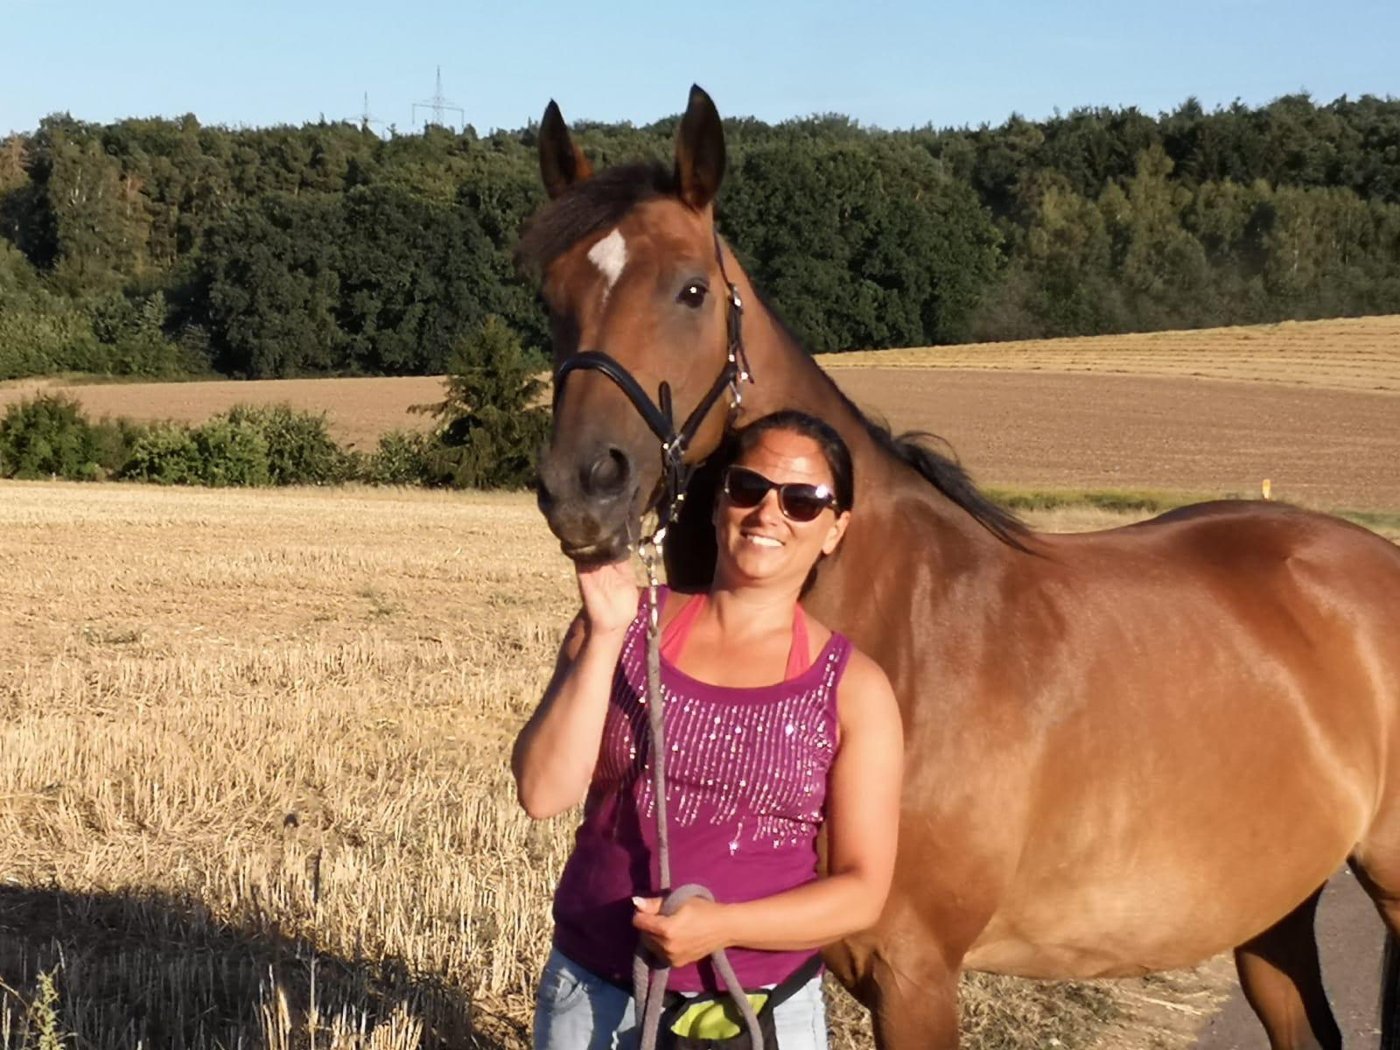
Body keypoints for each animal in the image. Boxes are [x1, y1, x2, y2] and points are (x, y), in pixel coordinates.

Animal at [523, 85, 1400, 1050]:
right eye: (551, 294)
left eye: (690, 290)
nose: (582, 487)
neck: (897, 619)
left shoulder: (916, 974)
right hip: (1272, 910)